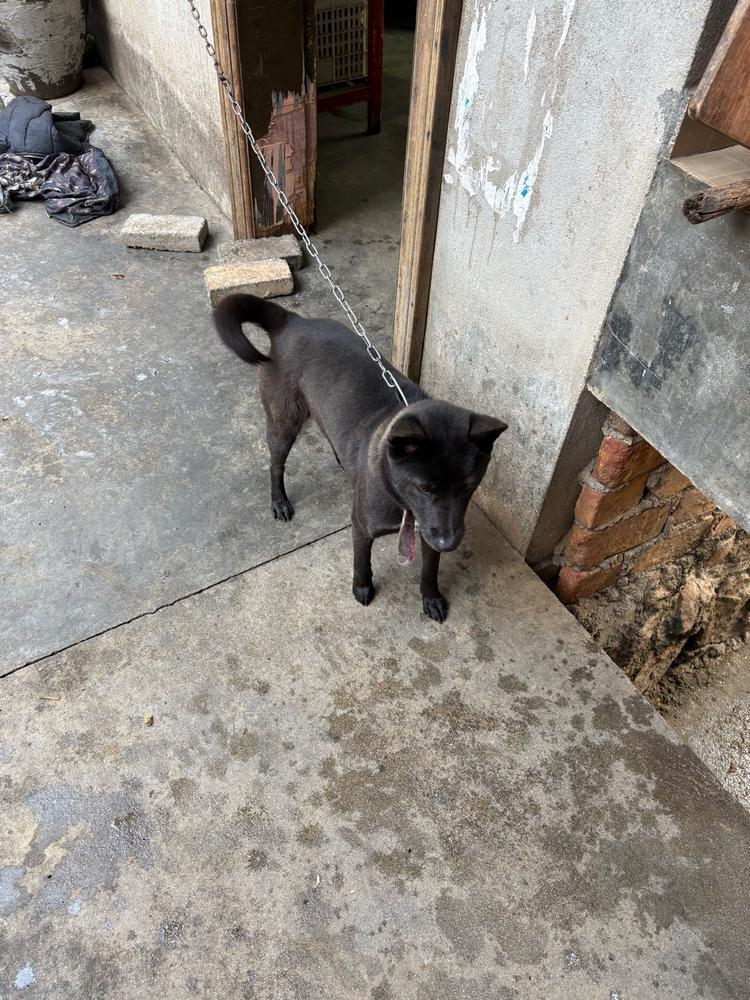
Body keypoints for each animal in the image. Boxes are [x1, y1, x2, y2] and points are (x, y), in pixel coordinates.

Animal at [214, 294, 507, 622]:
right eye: (423, 487)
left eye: (469, 486)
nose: (450, 543)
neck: (398, 495)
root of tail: (292, 322)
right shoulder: (363, 527)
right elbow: (361, 561)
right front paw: (362, 587)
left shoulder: (430, 532)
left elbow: (430, 569)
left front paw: (430, 596)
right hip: (283, 423)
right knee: (276, 465)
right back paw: (279, 500)